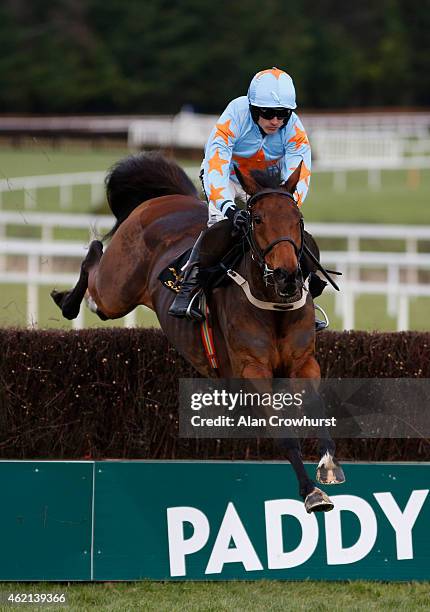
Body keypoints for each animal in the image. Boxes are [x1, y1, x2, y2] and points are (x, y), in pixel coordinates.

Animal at [51, 152, 346, 512]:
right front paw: (310, 492)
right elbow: (282, 431)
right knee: (94, 260)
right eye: (257, 219)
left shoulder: (304, 363)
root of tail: (166, 199)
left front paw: (329, 465)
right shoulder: (252, 369)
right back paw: (66, 300)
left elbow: (318, 412)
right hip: (115, 291)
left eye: (298, 219)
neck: (273, 305)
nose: (287, 275)